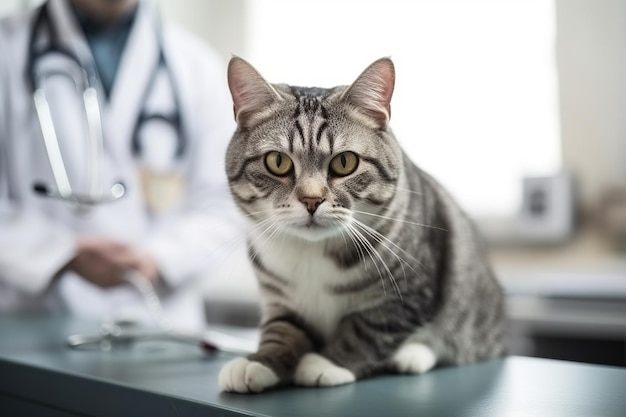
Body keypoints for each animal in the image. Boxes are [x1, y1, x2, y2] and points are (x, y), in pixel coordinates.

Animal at [217, 57, 504, 392]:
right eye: (277, 161)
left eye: (345, 162)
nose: (311, 200)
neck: (311, 253)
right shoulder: (281, 300)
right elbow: (282, 330)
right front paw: (260, 362)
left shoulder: (409, 292)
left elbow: (366, 329)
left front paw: (325, 363)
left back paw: (411, 356)